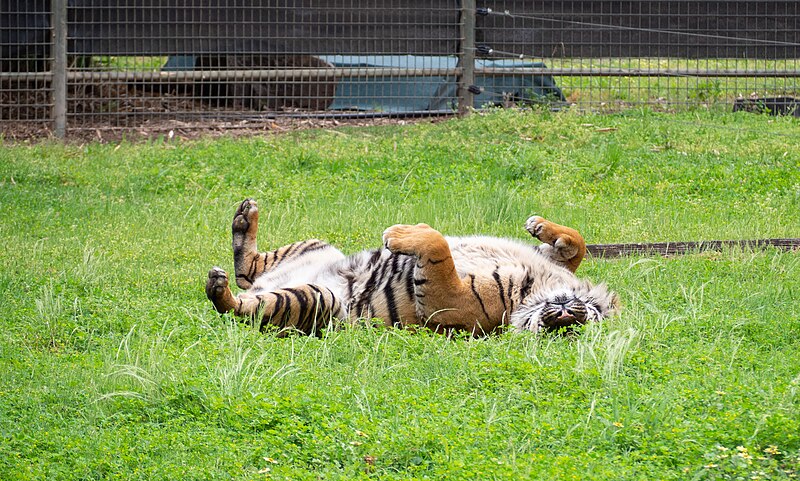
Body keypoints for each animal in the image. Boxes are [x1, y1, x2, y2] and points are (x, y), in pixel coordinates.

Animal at [206, 198, 620, 334]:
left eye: (572, 326)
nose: (563, 311)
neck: (540, 285)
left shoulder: (447, 301)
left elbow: (439, 246)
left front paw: (399, 234)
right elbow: (578, 244)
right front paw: (541, 226)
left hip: (314, 297)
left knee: (241, 304)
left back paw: (219, 287)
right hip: (316, 246)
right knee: (248, 269)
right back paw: (244, 217)